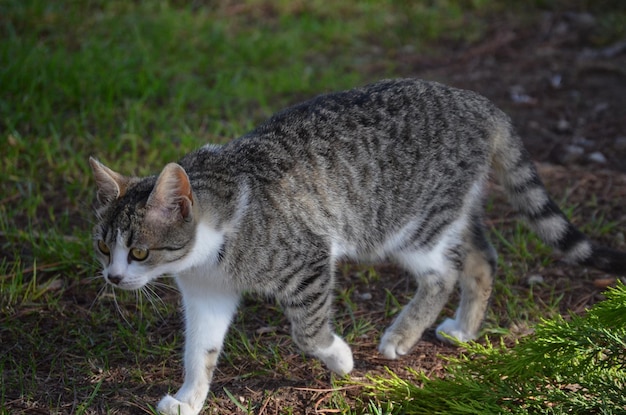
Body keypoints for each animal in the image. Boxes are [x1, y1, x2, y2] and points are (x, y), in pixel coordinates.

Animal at [89, 79, 624, 415]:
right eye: (102, 247)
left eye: (139, 252)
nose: (113, 277)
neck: (210, 249)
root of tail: (478, 103)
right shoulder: (206, 292)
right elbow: (199, 349)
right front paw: (190, 398)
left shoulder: (308, 260)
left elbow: (307, 332)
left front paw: (341, 357)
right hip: (454, 211)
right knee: (482, 259)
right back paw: (464, 329)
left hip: (411, 226)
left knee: (444, 273)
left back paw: (402, 335)